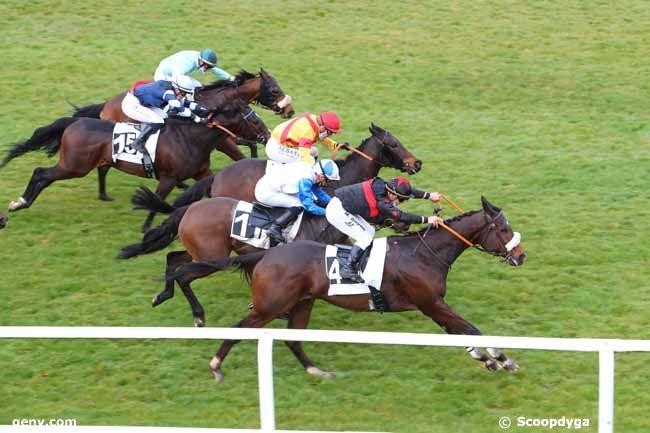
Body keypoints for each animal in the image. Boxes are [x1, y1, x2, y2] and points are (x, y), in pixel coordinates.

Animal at [2, 99, 268, 231]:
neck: (190, 138)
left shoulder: (202, 172)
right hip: (74, 166)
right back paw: (20, 203)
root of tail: (73, 123)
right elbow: (158, 199)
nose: (266, 135)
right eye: (254, 121)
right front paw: (147, 226)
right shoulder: (168, 178)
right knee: (41, 174)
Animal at [71, 69, 294, 201]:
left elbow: (250, 145)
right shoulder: (221, 140)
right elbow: (240, 154)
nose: (290, 111)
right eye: (275, 90)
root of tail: (105, 105)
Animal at [117, 124, 420, 324]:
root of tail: (216, 177)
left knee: (173, 259)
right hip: (212, 256)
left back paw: (163, 294)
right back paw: (198, 315)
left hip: (207, 253)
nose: (416, 163)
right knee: (183, 271)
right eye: (393, 144)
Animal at [170, 197, 524, 382]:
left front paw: (486, 359)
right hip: (270, 305)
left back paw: (317, 370)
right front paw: (503, 359)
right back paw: (216, 364)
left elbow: (458, 332)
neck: (423, 253)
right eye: (504, 229)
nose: (521, 256)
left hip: (303, 301)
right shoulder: (430, 302)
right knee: (240, 328)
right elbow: (470, 328)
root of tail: (268, 254)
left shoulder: (431, 304)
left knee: (292, 338)